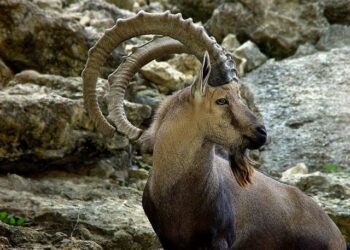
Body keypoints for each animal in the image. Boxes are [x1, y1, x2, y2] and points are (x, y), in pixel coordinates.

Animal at [82, 11, 348, 248]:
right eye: (222, 100)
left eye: (239, 95)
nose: (262, 133)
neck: (177, 190)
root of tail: (335, 233)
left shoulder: (218, 240)